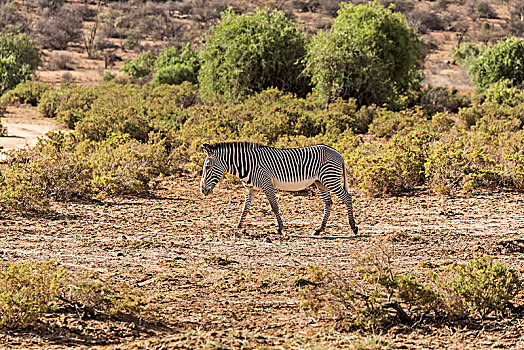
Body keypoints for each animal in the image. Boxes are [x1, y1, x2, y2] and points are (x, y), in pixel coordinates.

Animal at [199, 142, 358, 235]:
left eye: (207, 167)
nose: (203, 191)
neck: (247, 164)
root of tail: (338, 153)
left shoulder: (267, 184)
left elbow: (274, 206)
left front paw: (280, 228)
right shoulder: (251, 189)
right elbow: (245, 208)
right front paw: (238, 226)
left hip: (330, 179)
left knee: (347, 198)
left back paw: (353, 227)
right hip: (321, 182)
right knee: (328, 203)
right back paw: (320, 229)